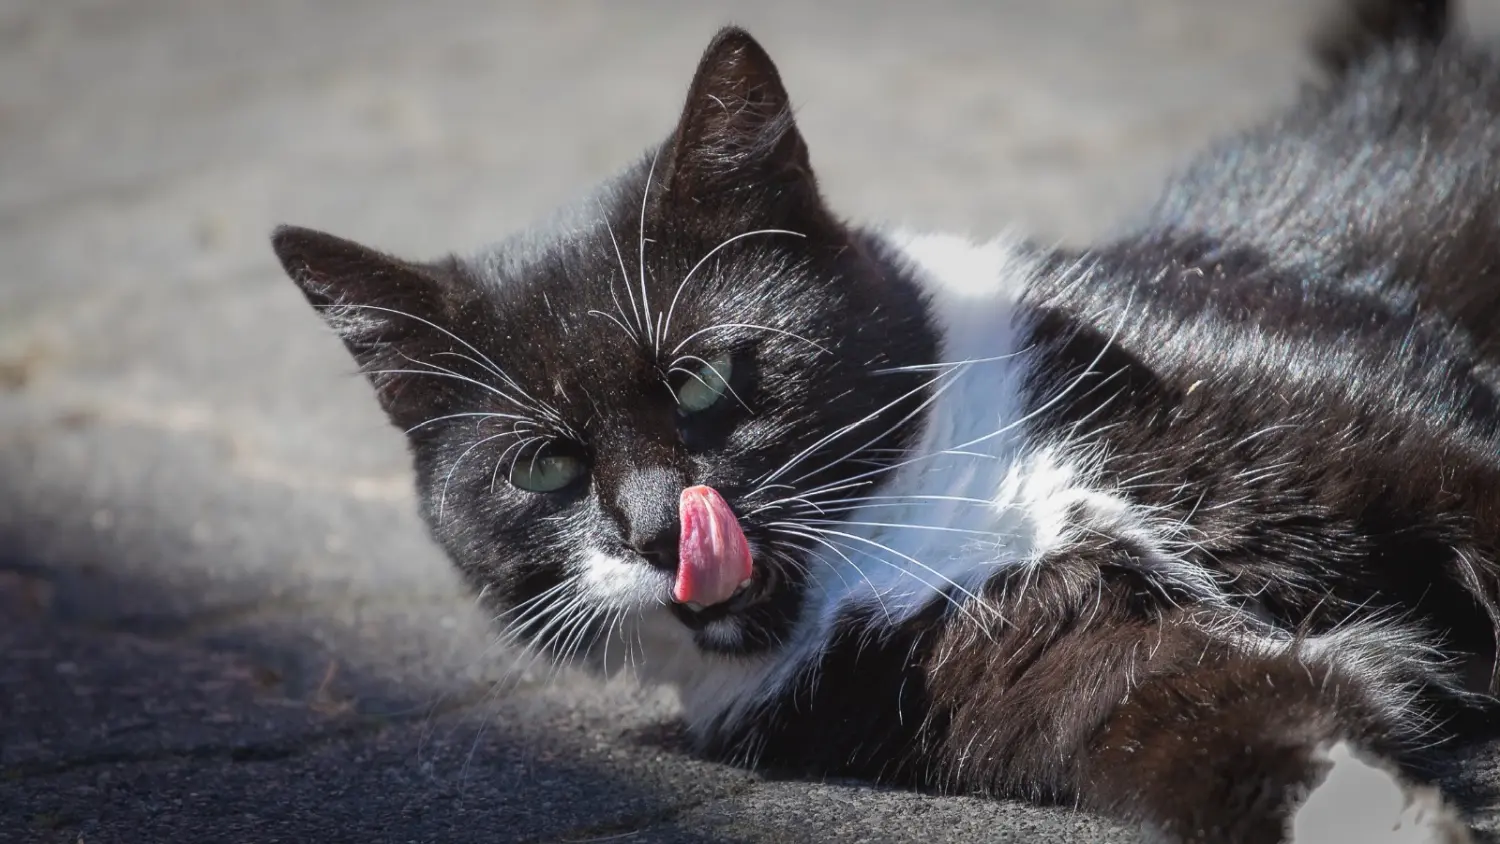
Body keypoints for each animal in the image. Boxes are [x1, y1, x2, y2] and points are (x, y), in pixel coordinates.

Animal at [273, 0, 1500, 839]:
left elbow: (1463, 483)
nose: (660, 527)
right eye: (544, 471)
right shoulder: (1035, 674)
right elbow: (1253, 721)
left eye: (702, 381)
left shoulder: (1358, 405)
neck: (943, 511)